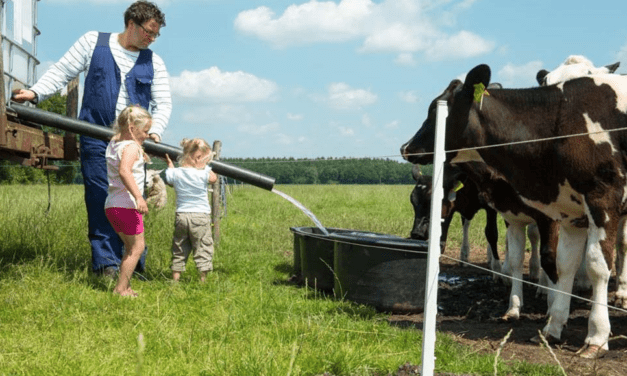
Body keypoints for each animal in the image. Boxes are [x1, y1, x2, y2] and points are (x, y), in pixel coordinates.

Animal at [402, 65, 627, 358]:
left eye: (434, 109)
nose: (405, 148)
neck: (559, 122)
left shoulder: (602, 201)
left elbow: (595, 266)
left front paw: (596, 336)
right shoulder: (566, 212)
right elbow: (563, 264)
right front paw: (552, 325)